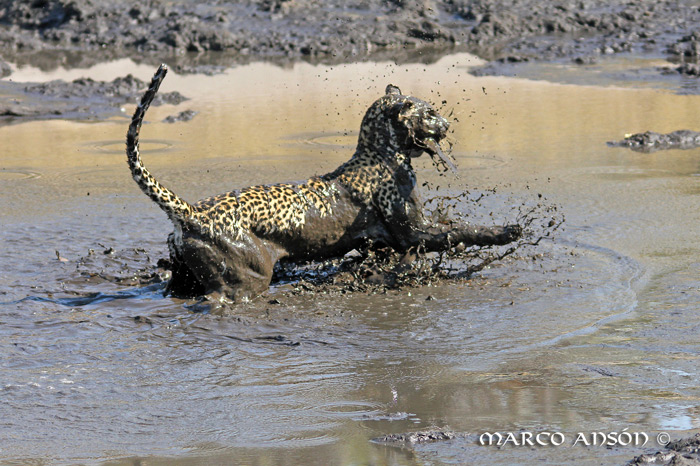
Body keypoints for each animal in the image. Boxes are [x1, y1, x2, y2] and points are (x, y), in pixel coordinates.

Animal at [126, 63, 524, 302]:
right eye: (429, 112)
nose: (447, 124)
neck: (380, 151)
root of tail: (192, 212)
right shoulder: (412, 233)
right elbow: (463, 230)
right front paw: (508, 231)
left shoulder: (395, 240)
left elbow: (451, 228)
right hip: (243, 281)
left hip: (183, 279)